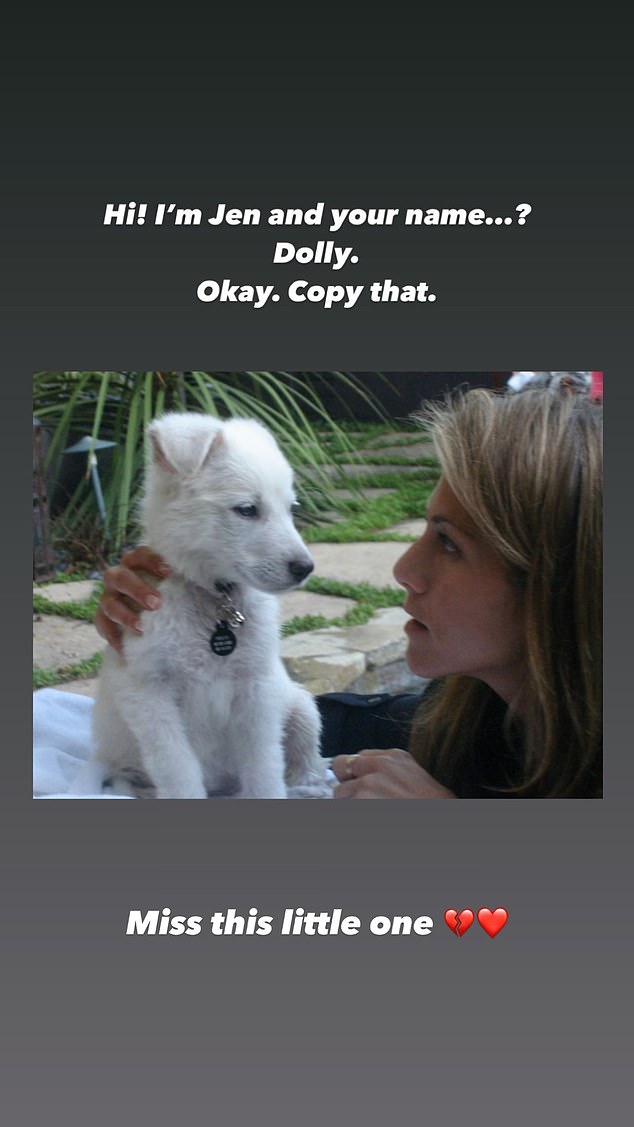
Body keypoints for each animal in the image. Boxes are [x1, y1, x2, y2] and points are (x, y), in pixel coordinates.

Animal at [85, 416, 333, 802]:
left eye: (290, 508)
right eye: (247, 509)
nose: (305, 568)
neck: (215, 598)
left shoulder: (258, 689)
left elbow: (264, 766)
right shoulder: (148, 691)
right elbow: (177, 768)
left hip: (299, 704)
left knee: (306, 754)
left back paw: (310, 785)